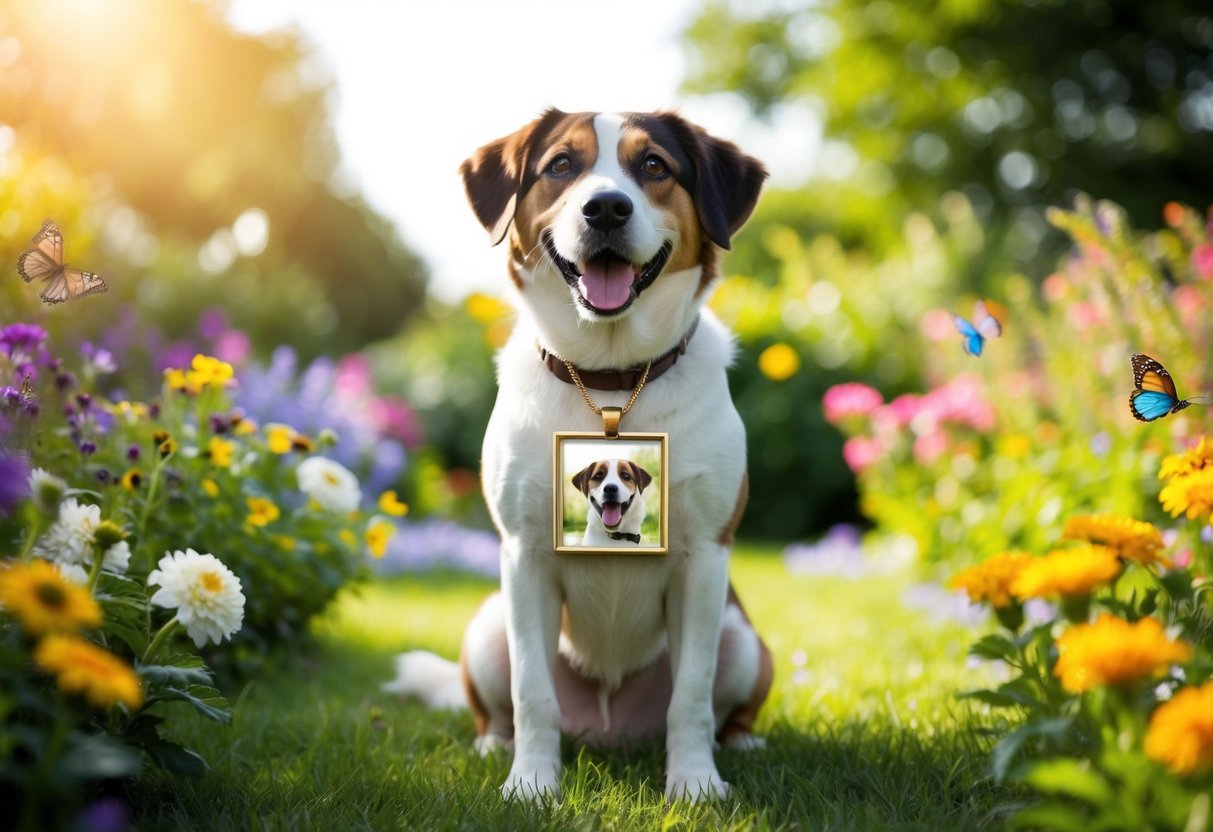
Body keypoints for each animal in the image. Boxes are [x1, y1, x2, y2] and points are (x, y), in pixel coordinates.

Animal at [383, 109, 771, 800]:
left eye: (653, 166)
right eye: (561, 164)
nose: (607, 208)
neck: (612, 379)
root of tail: (612, 731)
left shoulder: (704, 560)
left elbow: (692, 697)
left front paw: (695, 784)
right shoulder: (525, 557)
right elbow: (532, 693)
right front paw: (532, 785)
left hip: (742, 638)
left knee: (723, 703)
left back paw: (742, 742)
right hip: (487, 626)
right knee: (502, 703)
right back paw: (494, 744)